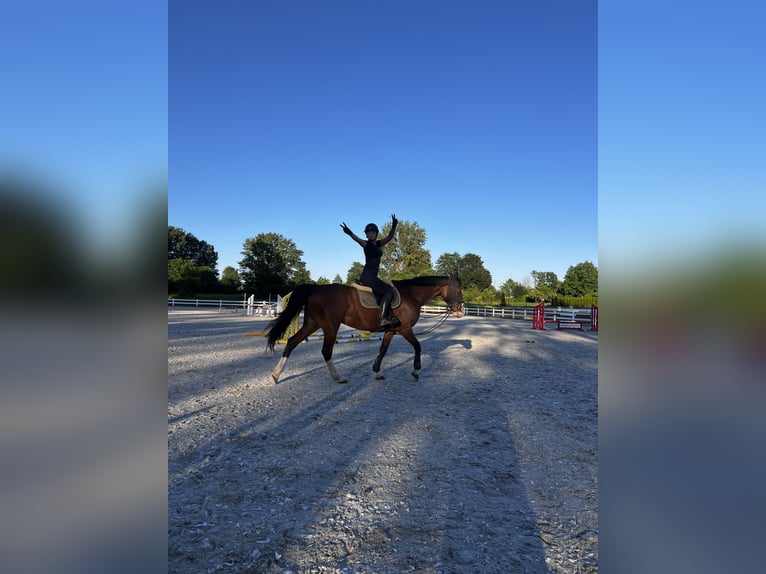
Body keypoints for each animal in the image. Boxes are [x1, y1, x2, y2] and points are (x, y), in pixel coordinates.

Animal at [268, 274, 464, 384]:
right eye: (458, 289)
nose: (461, 311)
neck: (411, 295)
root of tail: (316, 288)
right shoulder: (405, 329)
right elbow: (418, 346)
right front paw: (416, 371)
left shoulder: (391, 331)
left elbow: (383, 350)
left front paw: (377, 372)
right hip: (330, 327)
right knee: (326, 351)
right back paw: (338, 378)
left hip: (312, 323)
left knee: (292, 342)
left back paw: (276, 375)